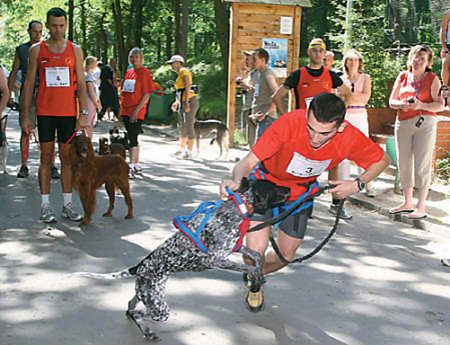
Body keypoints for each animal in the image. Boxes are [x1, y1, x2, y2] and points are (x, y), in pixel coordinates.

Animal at [68, 179, 290, 340]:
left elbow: (256, 257)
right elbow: (248, 267)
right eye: (274, 187)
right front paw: (255, 278)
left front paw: (259, 276)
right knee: (138, 313)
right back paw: (148, 333)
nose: (290, 187)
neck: (237, 208)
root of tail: (139, 266)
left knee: (131, 306)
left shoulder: (234, 247)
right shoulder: (215, 260)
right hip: (159, 308)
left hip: (147, 294)